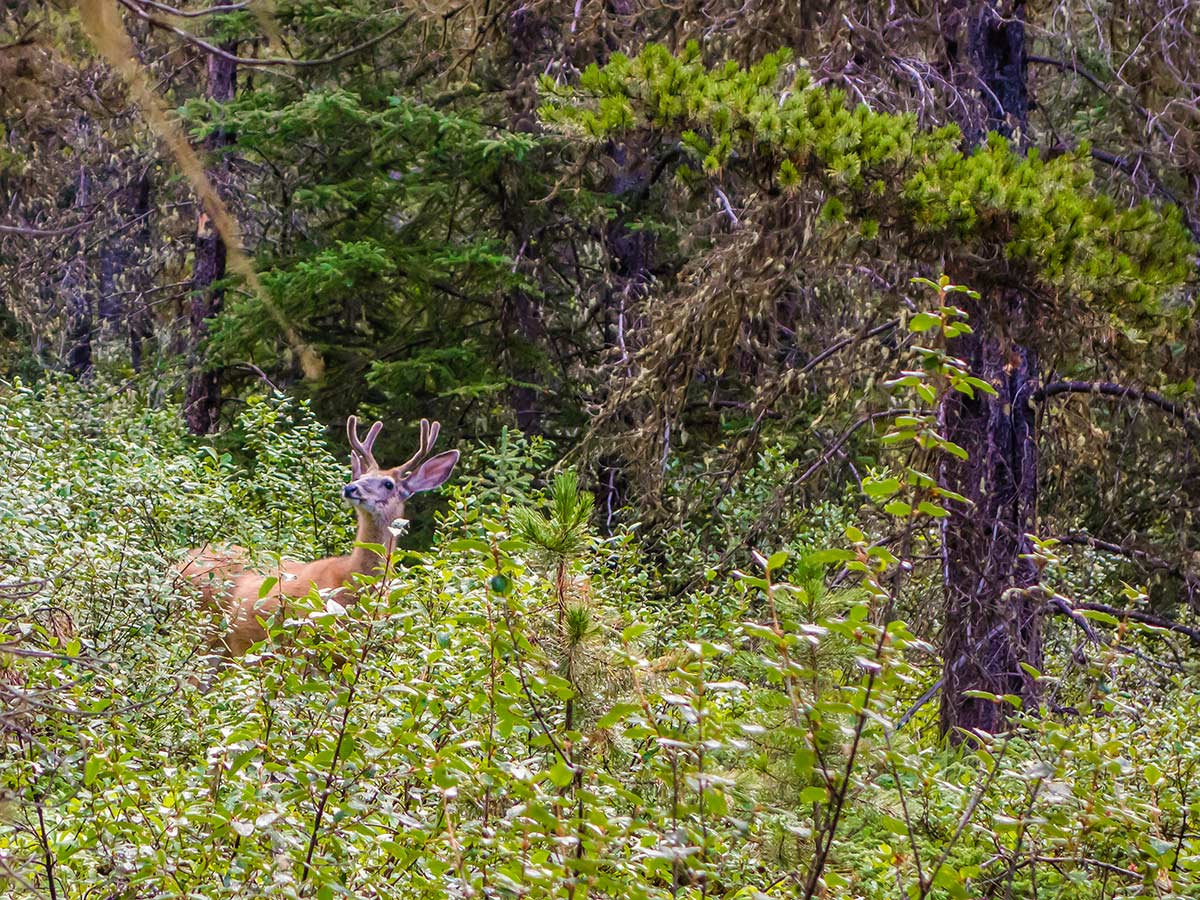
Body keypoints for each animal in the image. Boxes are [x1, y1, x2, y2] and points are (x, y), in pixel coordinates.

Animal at [177, 420, 458, 672]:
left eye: (388, 484)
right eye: (361, 476)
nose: (350, 488)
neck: (352, 581)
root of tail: (178, 564)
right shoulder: (308, 644)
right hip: (202, 634)